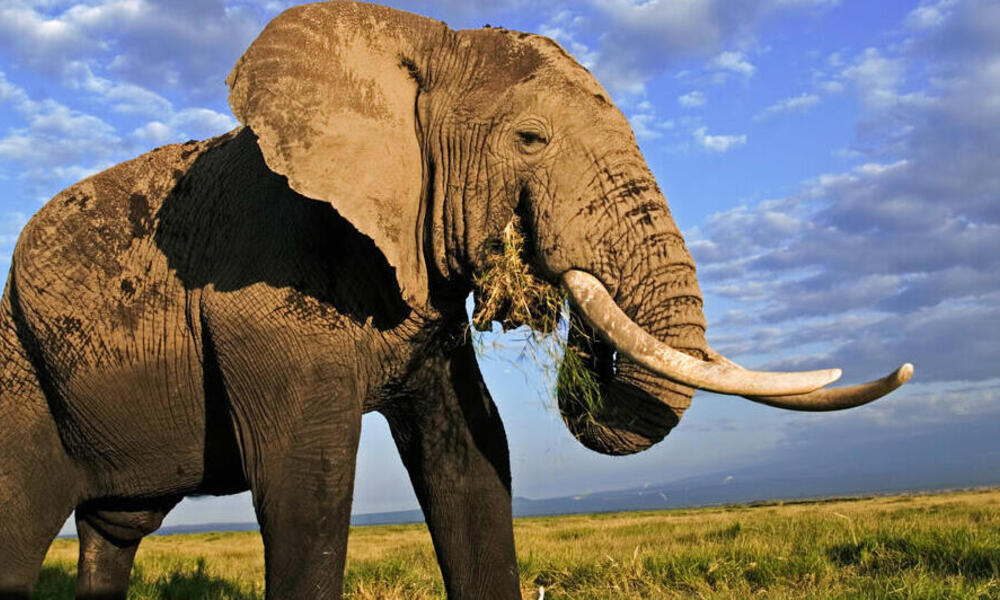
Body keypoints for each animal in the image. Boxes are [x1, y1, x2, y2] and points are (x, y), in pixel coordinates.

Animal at [0, 2, 913, 598]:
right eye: (530, 140)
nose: (540, 267)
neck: (406, 47)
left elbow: (474, 459)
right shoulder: (263, 292)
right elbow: (308, 484)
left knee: (113, 534)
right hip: (19, 372)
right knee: (20, 526)